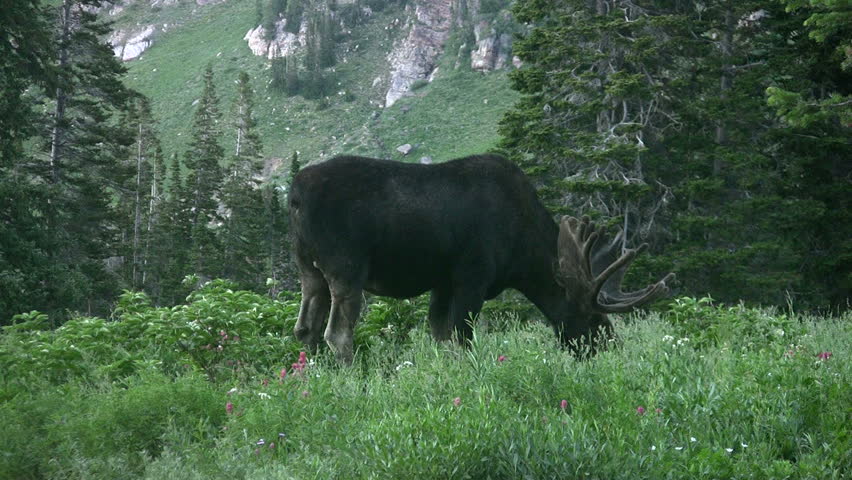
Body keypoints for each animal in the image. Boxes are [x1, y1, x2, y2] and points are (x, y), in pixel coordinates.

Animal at [288, 154, 674, 364]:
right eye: (594, 319)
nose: (610, 348)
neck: (523, 255)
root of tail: (295, 194)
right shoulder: (472, 275)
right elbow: (462, 337)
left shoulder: (443, 281)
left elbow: (440, 335)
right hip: (345, 268)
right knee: (337, 332)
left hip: (309, 270)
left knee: (305, 328)